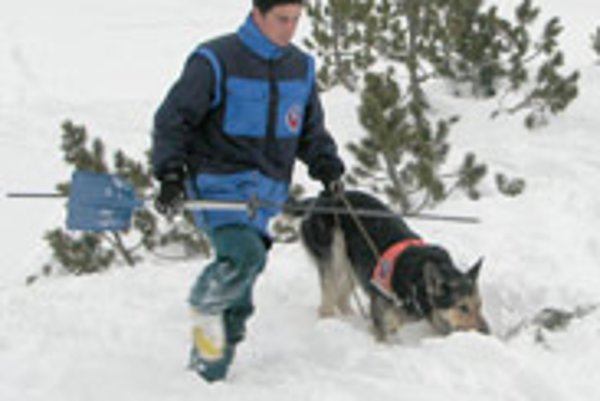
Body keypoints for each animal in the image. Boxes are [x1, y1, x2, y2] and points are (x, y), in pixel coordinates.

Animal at [298, 191, 490, 340]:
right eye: (463, 307)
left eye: (480, 304)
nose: (487, 332)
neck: (416, 284)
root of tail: (323, 196)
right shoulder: (382, 323)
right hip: (336, 256)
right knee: (327, 301)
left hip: (354, 267)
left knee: (341, 297)